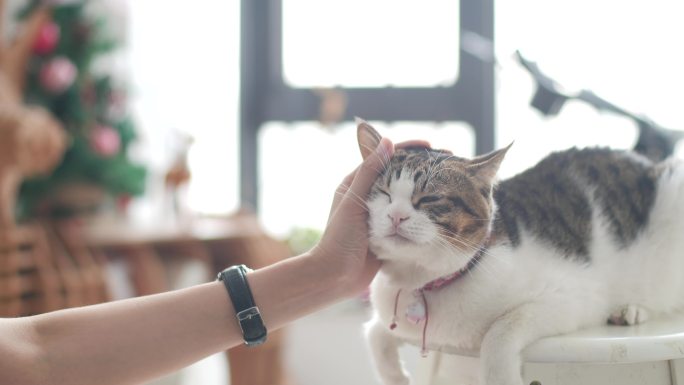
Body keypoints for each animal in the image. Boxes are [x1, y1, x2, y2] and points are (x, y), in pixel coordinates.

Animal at [358, 118, 684, 384]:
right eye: (384, 194)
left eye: (429, 198)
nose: (396, 216)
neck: (420, 281)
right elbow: (374, 332)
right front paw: (395, 377)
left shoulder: (572, 298)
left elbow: (499, 332)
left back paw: (631, 309)